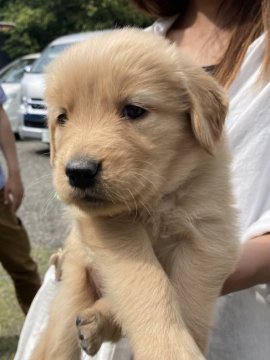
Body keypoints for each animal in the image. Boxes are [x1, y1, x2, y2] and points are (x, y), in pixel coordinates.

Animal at [31, 29, 238, 360]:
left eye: (134, 110)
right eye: (62, 118)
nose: (78, 171)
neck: (159, 198)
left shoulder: (208, 235)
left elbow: (190, 299)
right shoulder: (112, 229)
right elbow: (147, 283)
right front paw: (168, 349)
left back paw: (95, 322)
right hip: (73, 289)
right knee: (59, 339)